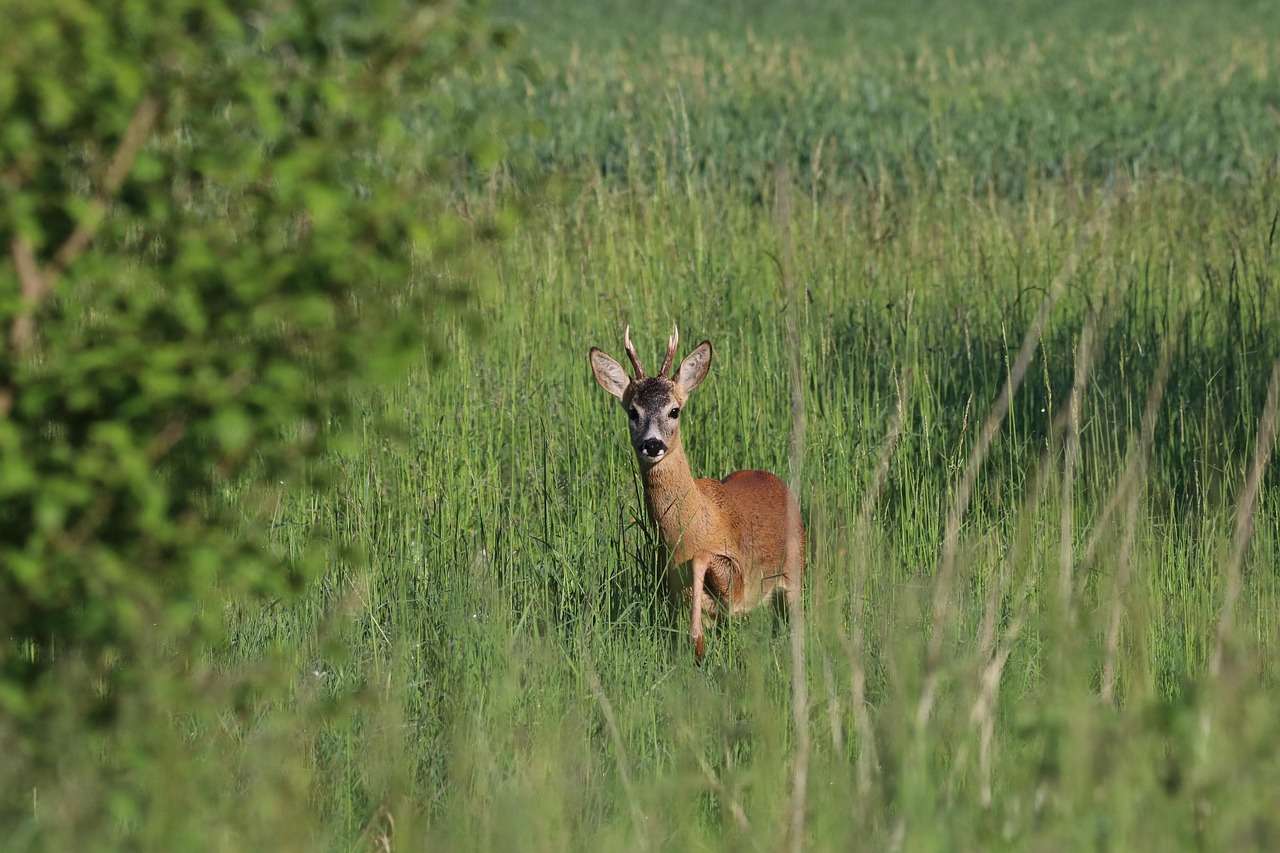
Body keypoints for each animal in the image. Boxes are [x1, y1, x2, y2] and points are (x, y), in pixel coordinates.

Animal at [589, 324, 805, 661]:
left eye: (674, 410)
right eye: (633, 412)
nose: (652, 444)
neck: (690, 530)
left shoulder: (739, 578)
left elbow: (704, 559)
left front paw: (697, 641)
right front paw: (698, 642)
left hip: (795, 573)